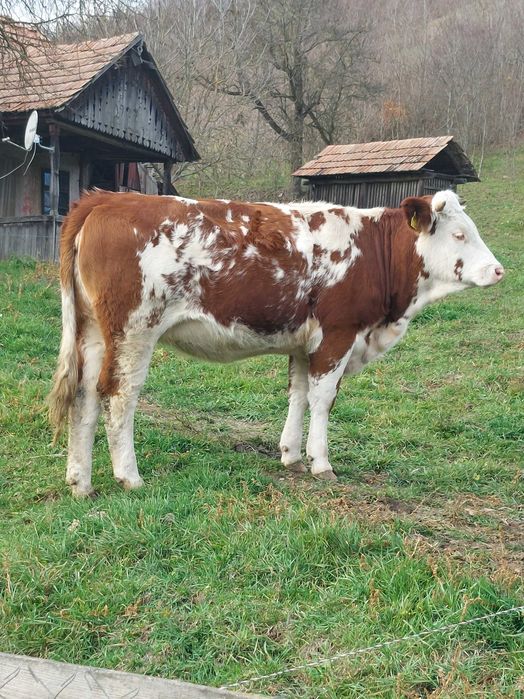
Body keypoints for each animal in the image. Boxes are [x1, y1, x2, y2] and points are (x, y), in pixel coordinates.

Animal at [47, 189, 504, 496]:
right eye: (459, 235)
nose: (499, 270)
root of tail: (106, 199)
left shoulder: (305, 343)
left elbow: (298, 394)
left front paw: (291, 455)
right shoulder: (338, 334)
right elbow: (323, 400)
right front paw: (321, 463)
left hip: (94, 332)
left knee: (84, 395)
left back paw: (80, 481)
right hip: (135, 328)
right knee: (118, 395)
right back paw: (129, 476)